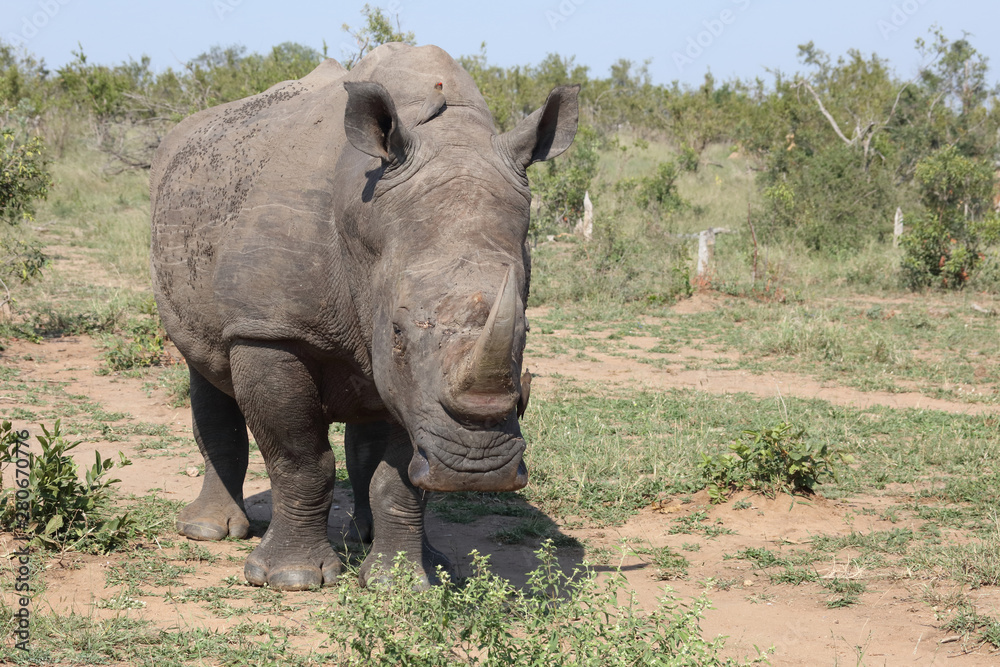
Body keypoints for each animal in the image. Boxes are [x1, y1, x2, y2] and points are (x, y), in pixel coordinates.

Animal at [149, 43, 579, 590]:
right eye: (396, 332)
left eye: (525, 331)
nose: (477, 467)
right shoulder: (268, 330)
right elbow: (299, 458)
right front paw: (292, 579)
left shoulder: (412, 382)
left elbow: (398, 472)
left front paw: (404, 582)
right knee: (205, 370)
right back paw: (208, 531)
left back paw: (378, 543)